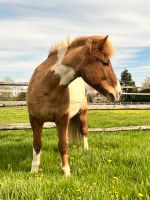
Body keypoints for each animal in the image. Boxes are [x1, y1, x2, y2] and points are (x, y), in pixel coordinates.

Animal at [26, 35, 121, 176]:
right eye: (105, 63)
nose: (118, 92)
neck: (45, 89)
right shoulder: (35, 120)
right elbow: (37, 144)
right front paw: (34, 170)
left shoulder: (62, 119)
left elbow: (63, 145)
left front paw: (66, 172)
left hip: (82, 114)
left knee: (84, 131)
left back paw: (85, 149)